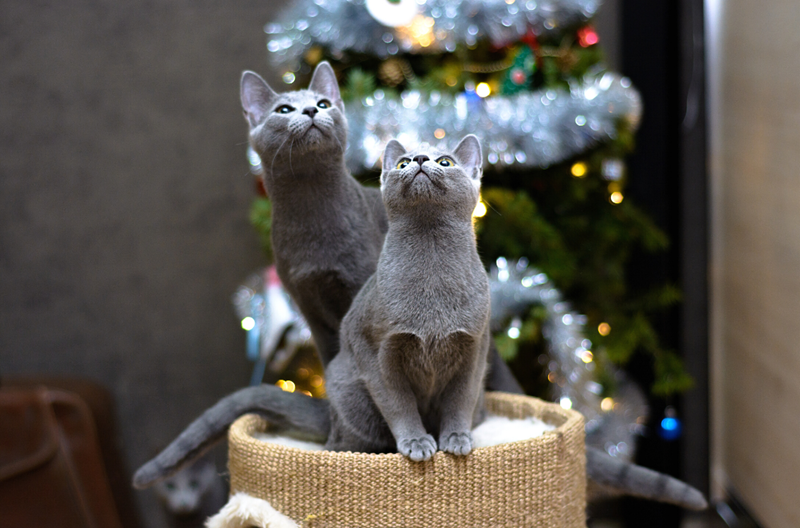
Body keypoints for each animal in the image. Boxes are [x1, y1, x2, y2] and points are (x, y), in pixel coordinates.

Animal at [324, 135, 488, 458]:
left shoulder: (474, 347)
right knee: (340, 442)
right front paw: (416, 443)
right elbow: (398, 402)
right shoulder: (375, 349)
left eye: (446, 162)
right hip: (350, 399)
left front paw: (456, 439)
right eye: (402, 163)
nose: (420, 159)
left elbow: (461, 398)